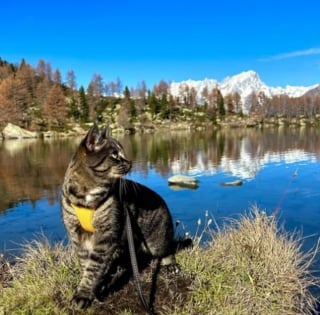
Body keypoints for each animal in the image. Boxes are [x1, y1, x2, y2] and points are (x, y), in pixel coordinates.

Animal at [61, 124, 176, 310]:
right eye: (115, 155)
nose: (130, 162)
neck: (87, 194)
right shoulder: (78, 236)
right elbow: (87, 265)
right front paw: (92, 289)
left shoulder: (105, 236)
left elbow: (93, 268)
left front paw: (83, 294)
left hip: (156, 240)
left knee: (167, 248)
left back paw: (170, 264)